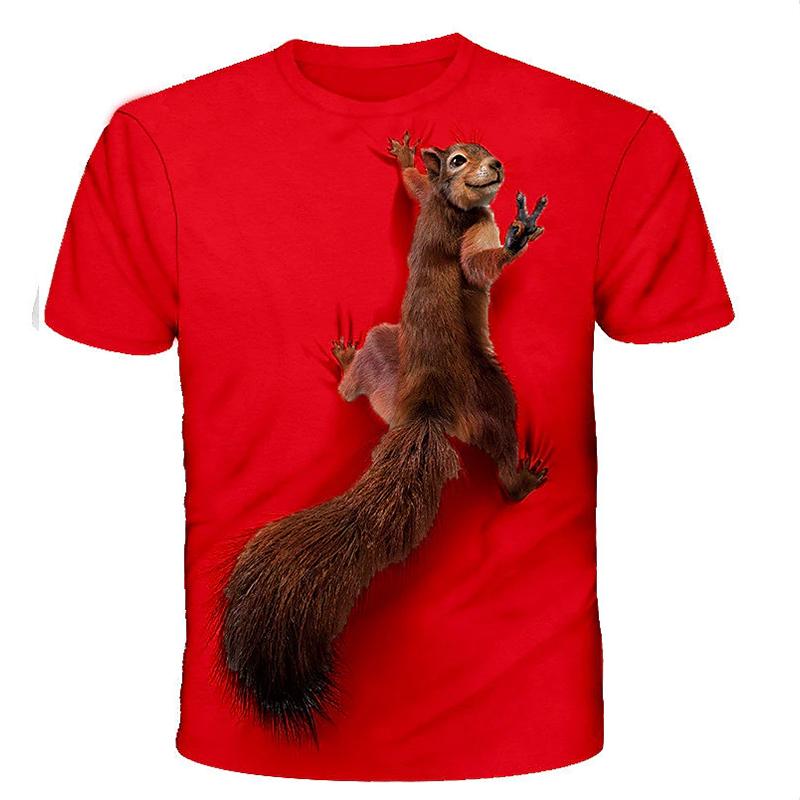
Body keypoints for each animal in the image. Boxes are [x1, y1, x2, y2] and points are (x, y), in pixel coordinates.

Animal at [221, 131, 549, 741]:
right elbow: (479, 268)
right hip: (494, 395)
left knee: (357, 388)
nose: (497, 166)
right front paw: (517, 236)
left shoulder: (431, 205)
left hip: (384, 363)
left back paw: (345, 364)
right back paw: (521, 478)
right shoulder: (472, 232)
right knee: (502, 458)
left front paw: (405, 161)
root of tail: (423, 410)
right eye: (462, 159)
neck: (452, 206)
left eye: (483, 150)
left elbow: (413, 187)